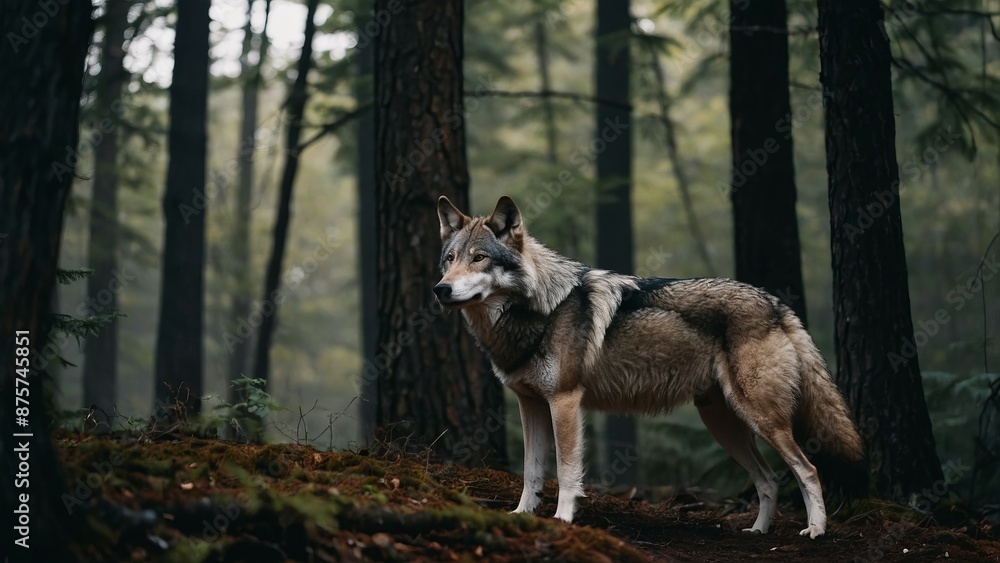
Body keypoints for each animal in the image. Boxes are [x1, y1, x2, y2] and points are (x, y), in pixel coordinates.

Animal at [434, 195, 864, 538]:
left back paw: (816, 530)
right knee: (769, 479)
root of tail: (776, 303)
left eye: (479, 258)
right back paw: (758, 531)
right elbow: (531, 471)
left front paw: (562, 519)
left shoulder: (565, 402)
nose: (441, 289)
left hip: (760, 419)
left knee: (808, 470)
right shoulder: (531, 405)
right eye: (449, 260)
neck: (541, 309)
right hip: (724, 424)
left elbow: (567, 471)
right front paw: (522, 515)